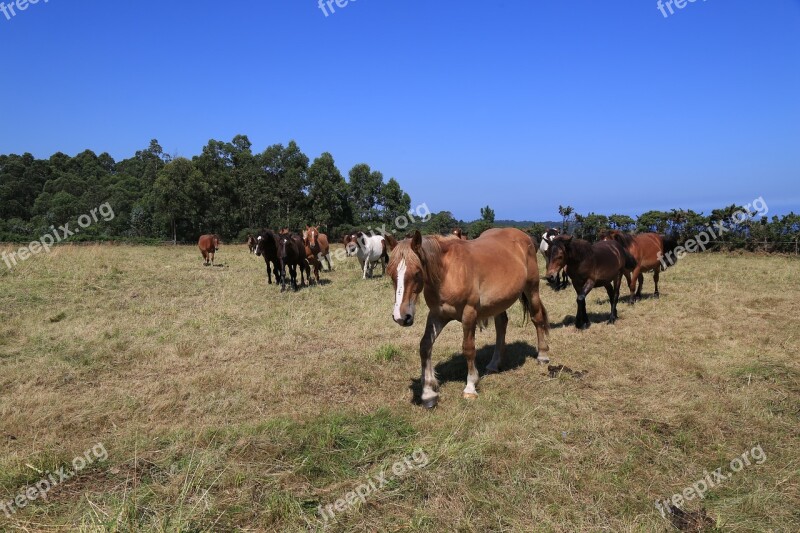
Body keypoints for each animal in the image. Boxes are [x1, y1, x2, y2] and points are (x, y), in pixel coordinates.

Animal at [388, 228, 552, 408]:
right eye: (391, 274)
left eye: (417, 272)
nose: (401, 317)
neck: (448, 272)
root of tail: (524, 236)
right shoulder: (437, 315)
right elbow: (425, 346)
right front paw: (428, 393)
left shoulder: (469, 314)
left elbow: (468, 348)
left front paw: (470, 387)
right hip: (499, 302)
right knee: (501, 325)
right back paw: (494, 364)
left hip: (532, 289)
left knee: (537, 318)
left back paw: (542, 355)